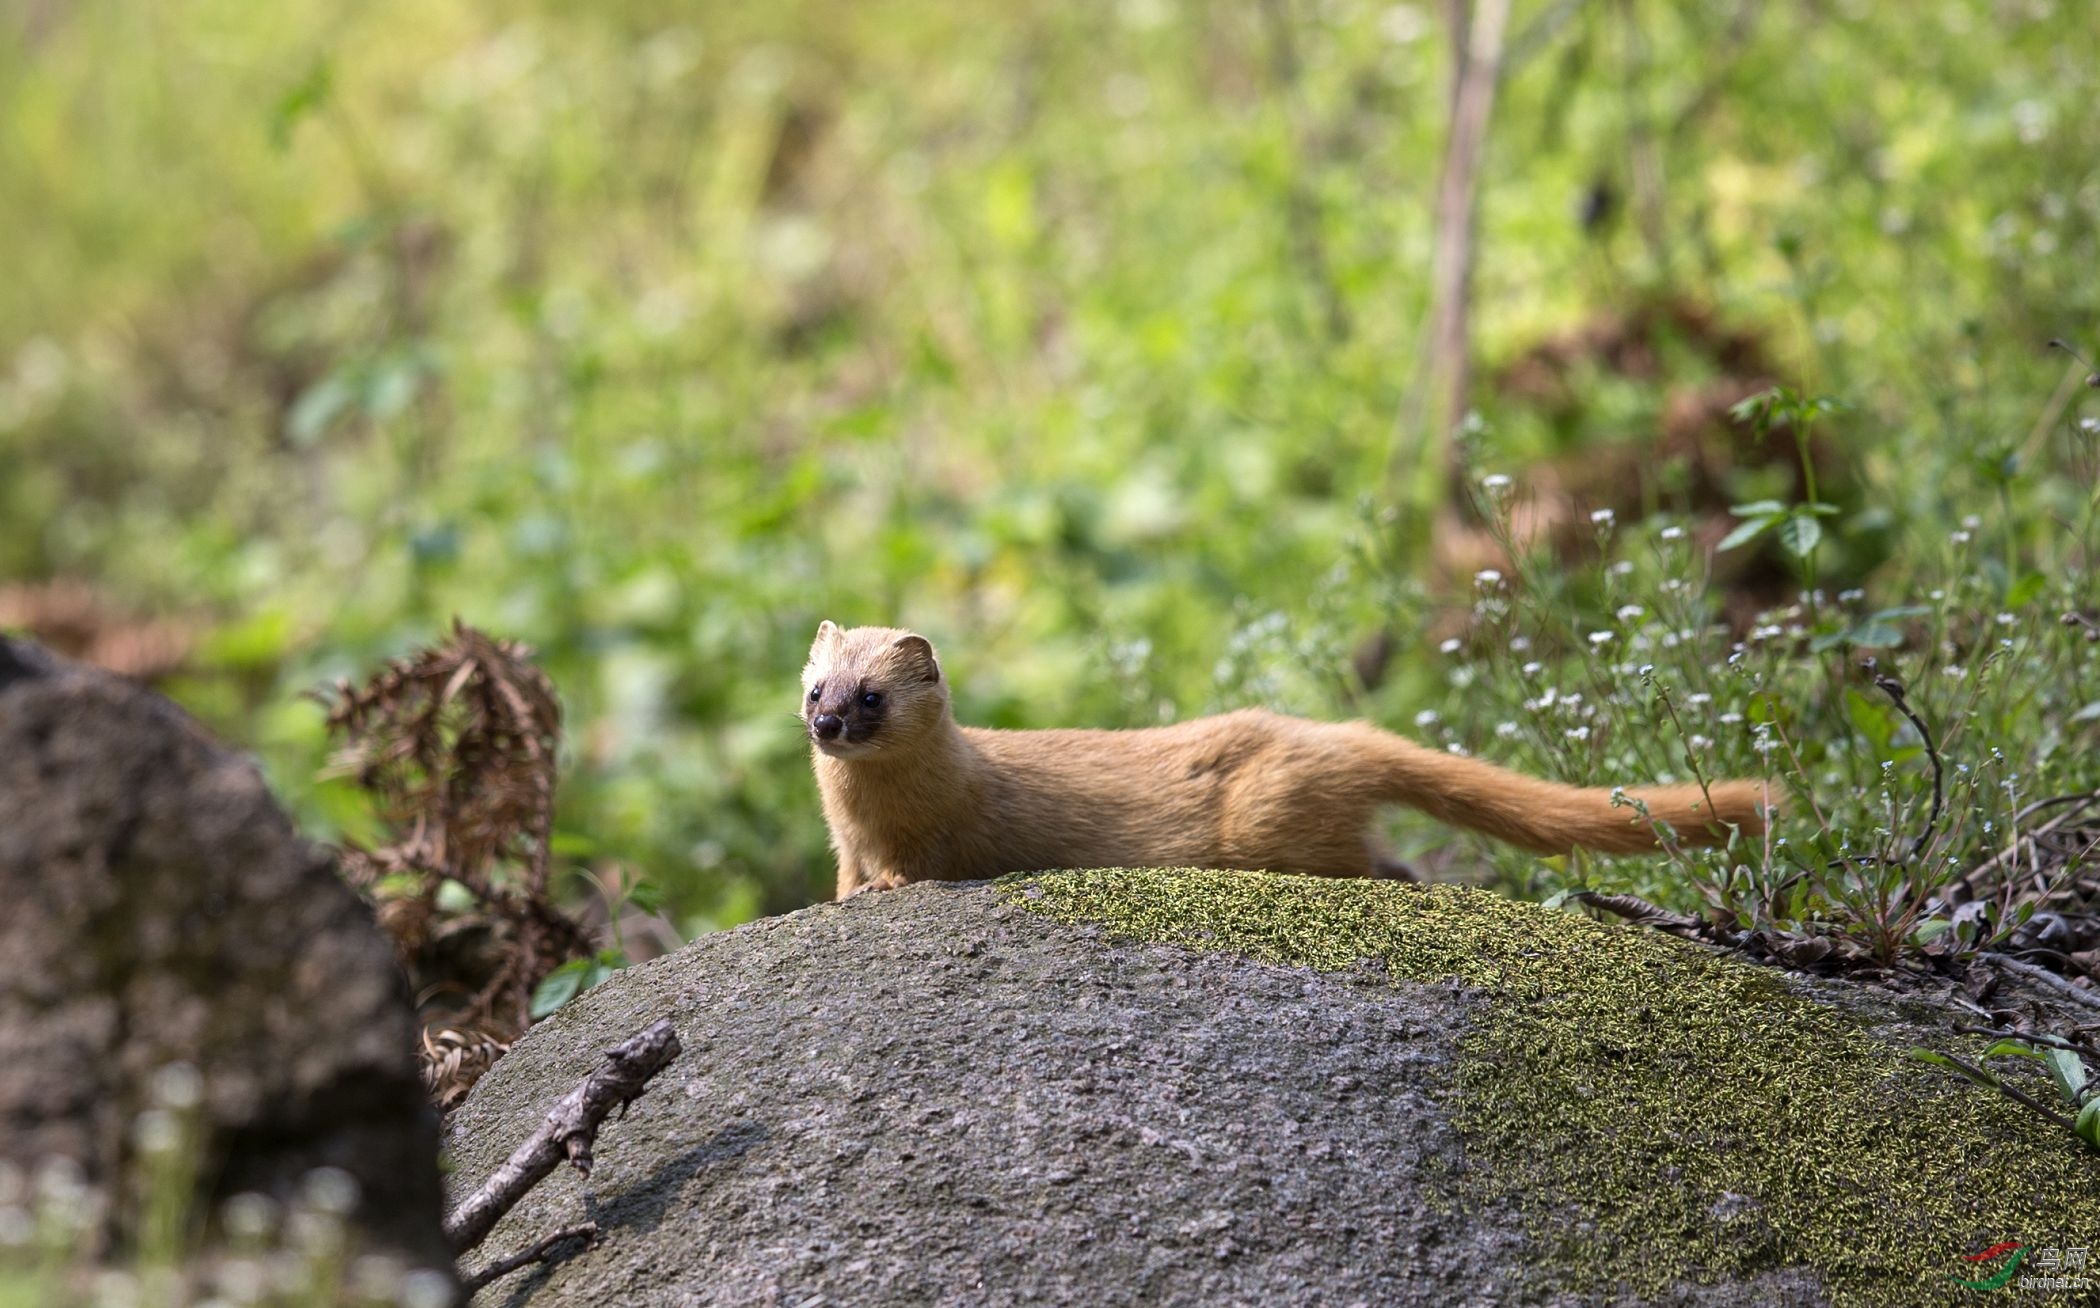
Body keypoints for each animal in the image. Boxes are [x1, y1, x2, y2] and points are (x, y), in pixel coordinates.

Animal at [802, 625, 1772, 898]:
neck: (868, 815)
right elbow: (844, 878)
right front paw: (850, 896)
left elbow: (923, 868)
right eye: (815, 686)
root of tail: (1332, 732)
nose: (828, 726)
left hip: (1270, 816)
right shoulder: (840, 840)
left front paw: (888, 891)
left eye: (872, 694)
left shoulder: (942, 832)